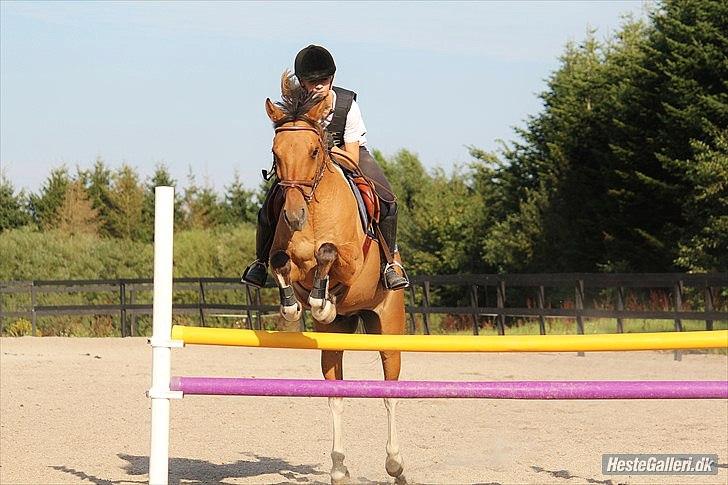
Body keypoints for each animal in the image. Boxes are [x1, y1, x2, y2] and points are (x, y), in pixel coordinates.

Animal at [264, 73, 406, 484]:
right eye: (276, 153)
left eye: (314, 151)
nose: (293, 215)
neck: (312, 212)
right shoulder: (287, 260)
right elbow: (280, 261)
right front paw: (295, 308)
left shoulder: (351, 261)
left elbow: (328, 254)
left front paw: (319, 300)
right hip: (335, 339)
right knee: (336, 393)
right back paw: (339, 466)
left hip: (389, 326)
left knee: (390, 390)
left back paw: (396, 465)